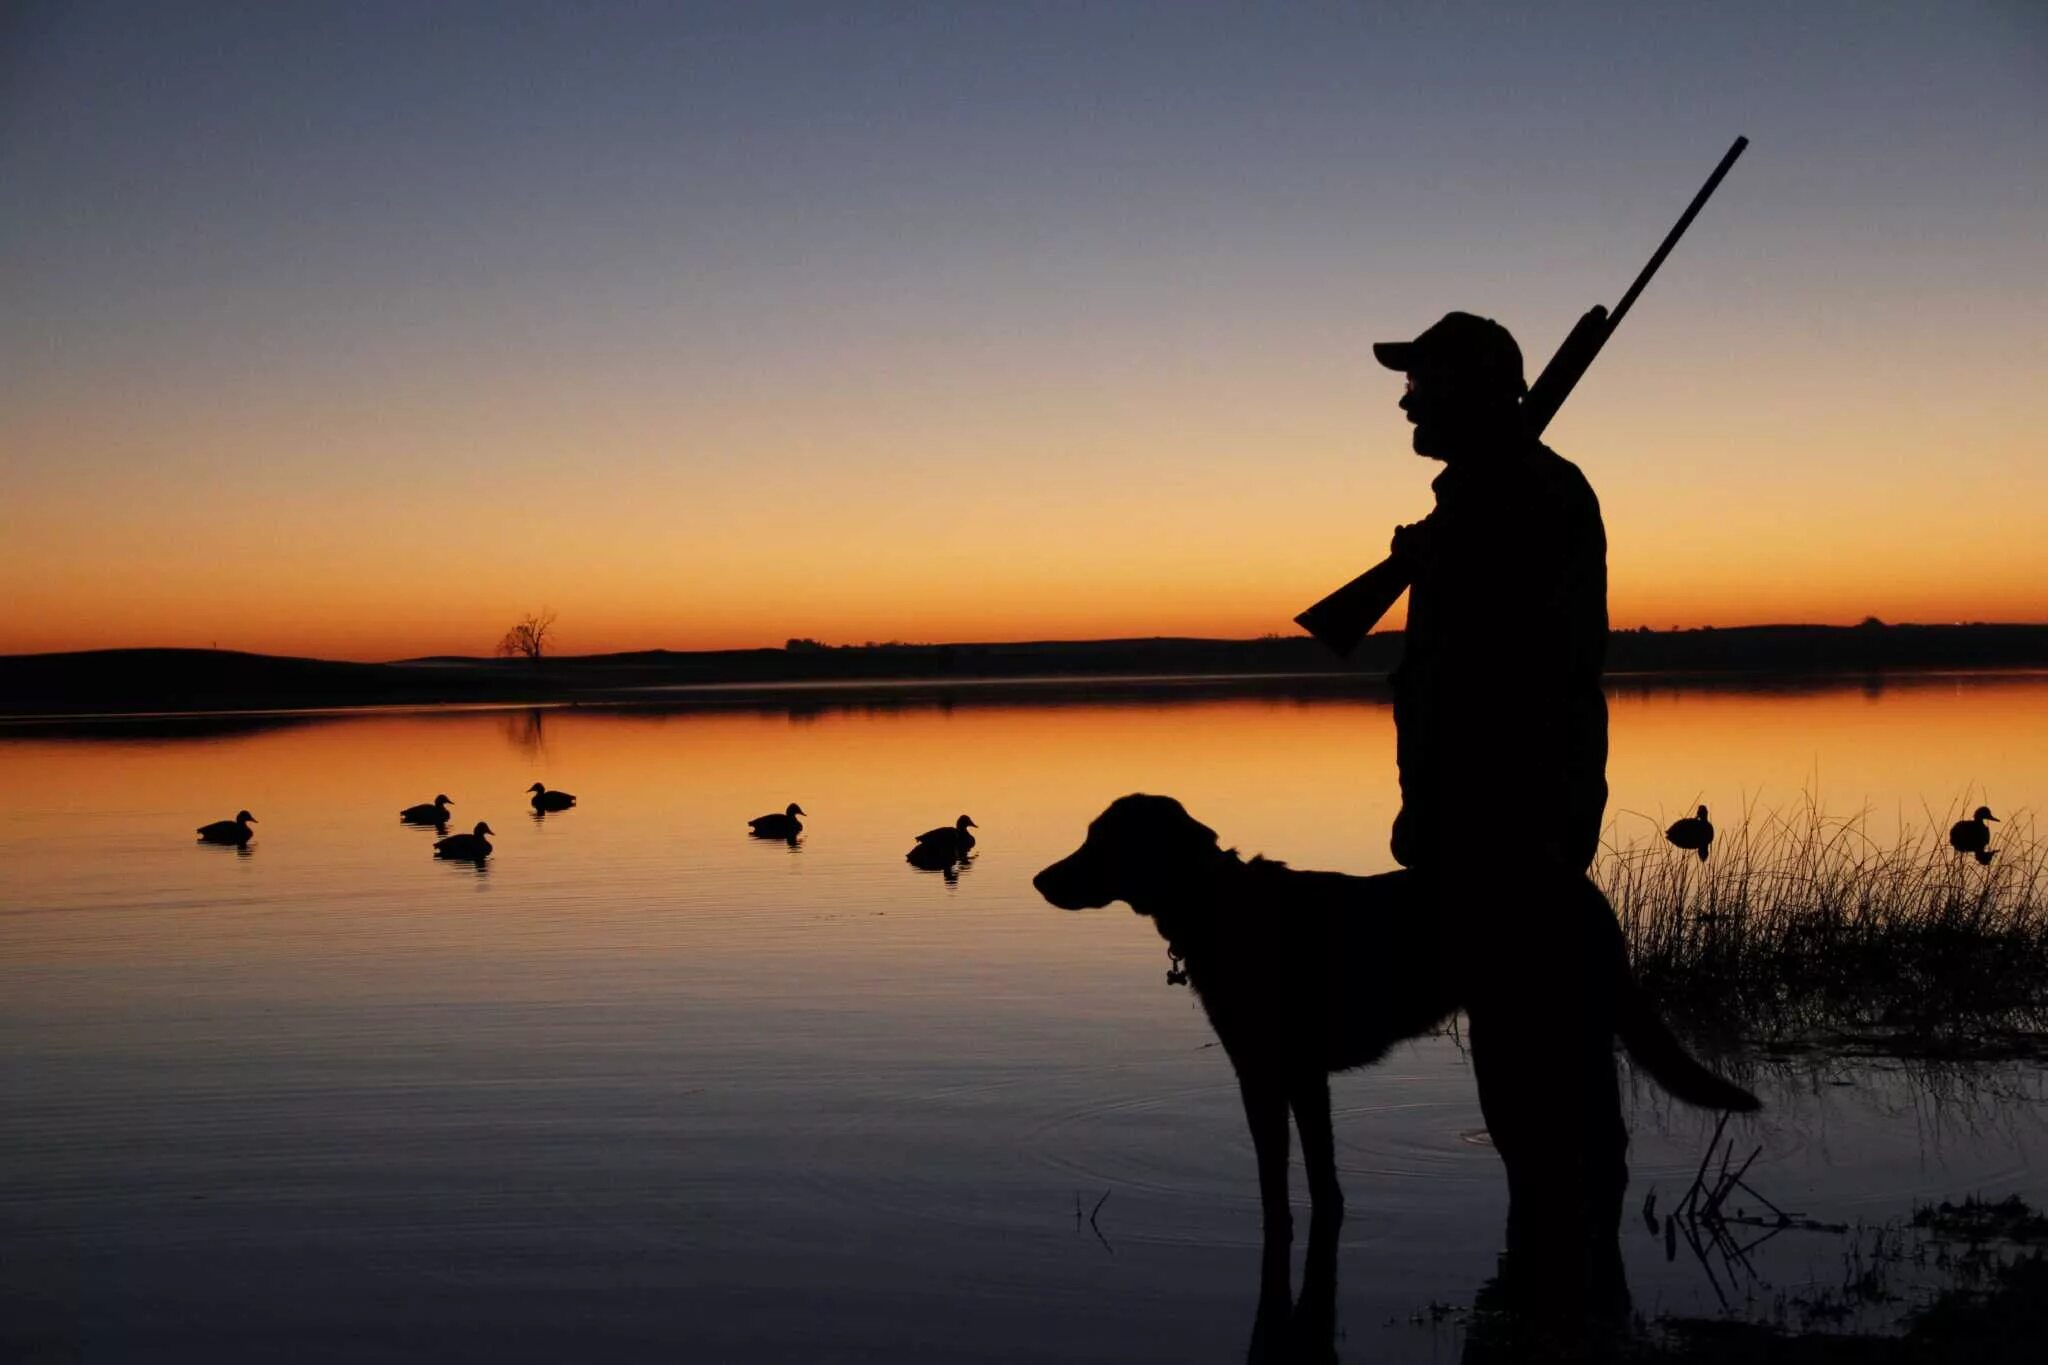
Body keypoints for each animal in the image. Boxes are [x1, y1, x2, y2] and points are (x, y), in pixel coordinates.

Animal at [1040, 789, 1761, 1252]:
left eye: (1100, 841)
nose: (1040, 880)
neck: (1217, 903)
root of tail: (1580, 890)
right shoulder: (1296, 1077)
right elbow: (1317, 1171)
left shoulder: (1269, 1074)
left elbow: (1280, 1178)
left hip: (1535, 1033)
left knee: (1593, 1141)